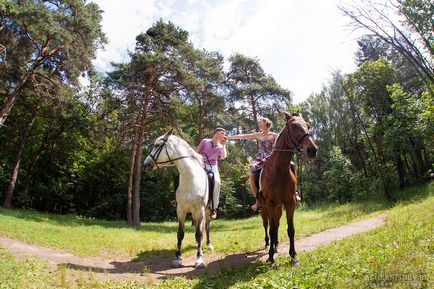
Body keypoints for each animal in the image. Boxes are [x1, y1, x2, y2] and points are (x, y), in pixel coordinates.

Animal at [143, 129, 213, 268]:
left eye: (157, 145)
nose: (145, 164)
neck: (190, 178)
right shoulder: (181, 210)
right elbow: (180, 233)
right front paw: (177, 258)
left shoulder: (200, 210)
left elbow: (199, 233)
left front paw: (199, 259)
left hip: (206, 212)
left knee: (206, 227)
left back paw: (207, 245)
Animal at [260, 111, 318, 264]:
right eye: (293, 126)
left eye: (308, 125)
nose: (312, 149)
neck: (279, 170)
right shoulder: (270, 203)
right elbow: (271, 229)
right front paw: (270, 257)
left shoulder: (290, 202)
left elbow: (290, 229)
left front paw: (293, 255)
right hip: (264, 207)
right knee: (267, 225)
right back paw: (268, 244)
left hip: (279, 207)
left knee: (276, 224)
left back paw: (275, 246)